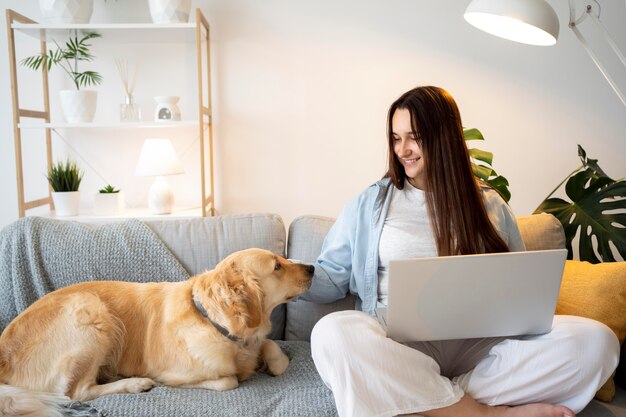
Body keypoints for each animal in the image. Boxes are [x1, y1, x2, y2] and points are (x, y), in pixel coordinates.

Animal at [0, 249, 312, 414]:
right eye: (277, 266)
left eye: (283, 258)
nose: (311, 267)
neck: (215, 323)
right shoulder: (178, 372)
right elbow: (228, 380)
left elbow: (271, 347)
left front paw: (272, 362)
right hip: (91, 311)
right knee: (76, 392)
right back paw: (135, 384)